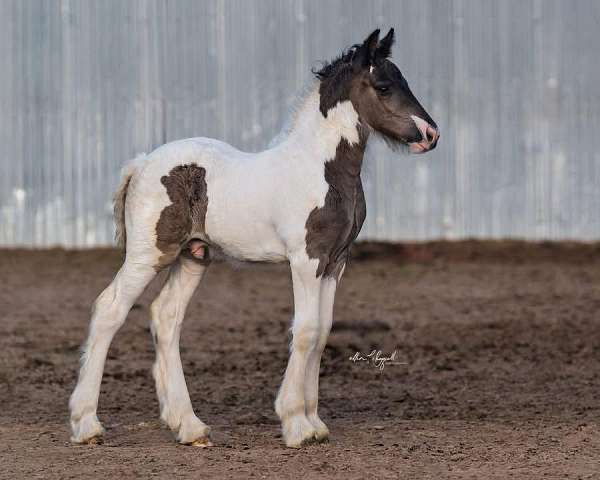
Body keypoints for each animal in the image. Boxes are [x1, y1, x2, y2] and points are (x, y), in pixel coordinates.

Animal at [69, 28, 436, 448]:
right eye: (384, 86)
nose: (431, 134)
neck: (319, 168)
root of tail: (143, 162)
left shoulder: (335, 263)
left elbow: (323, 330)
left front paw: (315, 422)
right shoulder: (306, 260)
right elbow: (306, 331)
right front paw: (296, 424)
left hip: (193, 255)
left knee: (166, 316)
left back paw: (189, 426)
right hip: (149, 254)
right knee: (109, 310)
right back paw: (87, 424)